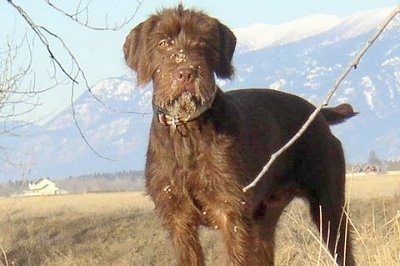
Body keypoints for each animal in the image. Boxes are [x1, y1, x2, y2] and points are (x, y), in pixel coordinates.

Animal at [124, 4, 356, 266]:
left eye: (203, 41)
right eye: (164, 42)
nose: (187, 73)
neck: (188, 130)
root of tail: (319, 115)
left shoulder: (232, 214)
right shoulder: (179, 220)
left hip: (329, 207)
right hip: (265, 220)